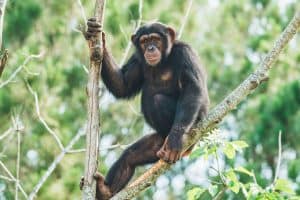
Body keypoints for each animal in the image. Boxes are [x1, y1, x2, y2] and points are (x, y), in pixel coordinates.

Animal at [82, 18, 209, 199]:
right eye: (144, 41)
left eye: (155, 39)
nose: (150, 48)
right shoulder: (137, 59)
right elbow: (123, 85)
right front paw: (97, 36)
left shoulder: (185, 53)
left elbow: (192, 88)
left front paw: (176, 138)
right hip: (154, 146)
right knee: (130, 157)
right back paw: (105, 190)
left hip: (194, 130)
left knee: (158, 100)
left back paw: (174, 139)